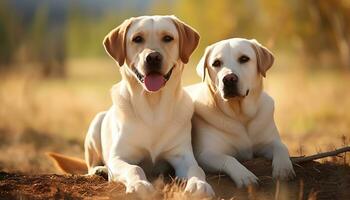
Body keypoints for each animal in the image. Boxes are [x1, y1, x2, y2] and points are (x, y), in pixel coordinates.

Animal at [49, 15, 213, 197]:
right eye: (137, 39)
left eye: (168, 38)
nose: (153, 57)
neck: (153, 106)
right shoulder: (119, 158)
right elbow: (134, 168)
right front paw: (139, 184)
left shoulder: (182, 156)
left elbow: (196, 170)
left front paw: (199, 184)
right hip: (96, 123)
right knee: (91, 166)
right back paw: (100, 169)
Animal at [186, 38, 296, 188]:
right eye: (216, 63)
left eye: (244, 59)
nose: (229, 79)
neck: (240, 115)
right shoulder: (205, 154)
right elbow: (229, 158)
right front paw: (245, 176)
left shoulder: (269, 142)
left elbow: (281, 147)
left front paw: (283, 168)